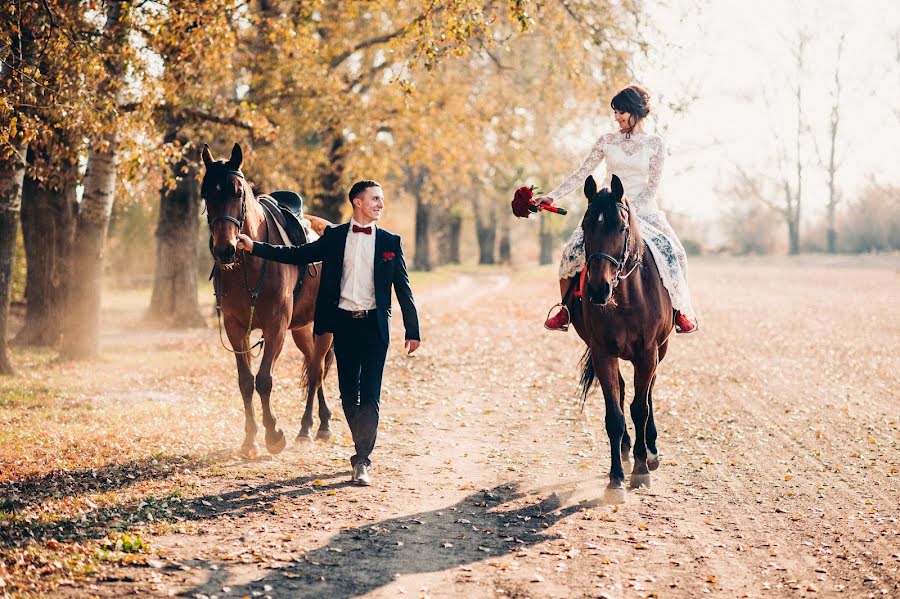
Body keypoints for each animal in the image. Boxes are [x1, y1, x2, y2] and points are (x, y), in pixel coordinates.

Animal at [200, 143, 334, 458]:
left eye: (238, 192)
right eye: (206, 194)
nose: (225, 249)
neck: (251, 263)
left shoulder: (276, 327)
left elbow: (264, 380)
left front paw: (273, 435)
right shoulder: (236, 328)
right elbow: (246, 382)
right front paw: (249, 439)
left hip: (324, 328)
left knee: (317, 370)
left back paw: (312, 427)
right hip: (301, 329)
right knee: (314, 366)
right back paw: (315, 424)